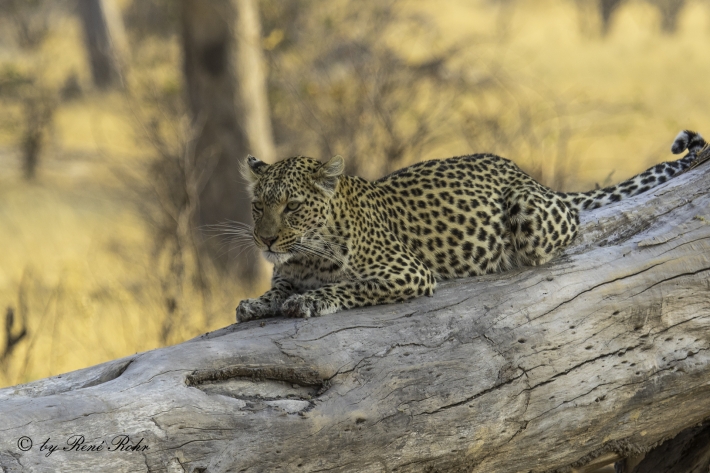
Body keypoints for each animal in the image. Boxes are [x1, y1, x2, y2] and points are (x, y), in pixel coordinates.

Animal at [235, 130, 707, 321]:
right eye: (258, 207)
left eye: (293, 206)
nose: (265, 240)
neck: (307, 254)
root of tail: (525, 174)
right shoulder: (287, 271)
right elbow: (276, 289)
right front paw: (256, 304)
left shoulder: (407, 273)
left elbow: (349, 286)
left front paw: (310, 301)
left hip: (530, 215)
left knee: (571, 223)